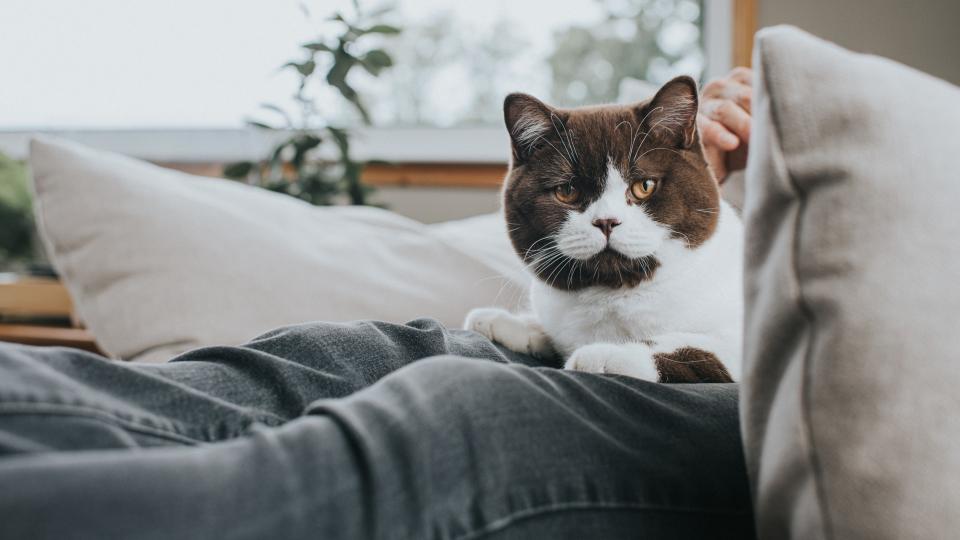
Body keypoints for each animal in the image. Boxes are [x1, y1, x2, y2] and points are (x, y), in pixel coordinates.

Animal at [464, 76, 744, 382]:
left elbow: (694, 350)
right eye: (567, 191)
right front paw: (504, 321)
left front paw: (606, 354)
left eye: (644, 186)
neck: (616, 290)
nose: (606, 221)